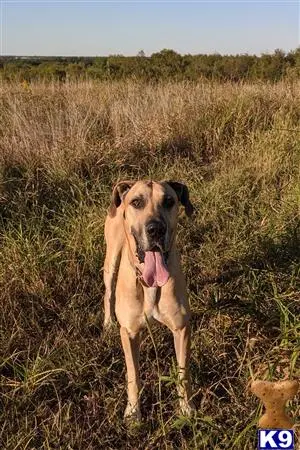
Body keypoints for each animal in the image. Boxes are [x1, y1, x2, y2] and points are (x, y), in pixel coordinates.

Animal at [102, 179, 195, 422]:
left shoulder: (181, 328)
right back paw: (107, 322)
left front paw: (186, 408)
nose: (156, 230)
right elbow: (133, 375)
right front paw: (133, 411)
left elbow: (183, 372)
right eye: (137, 202)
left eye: (169, 201)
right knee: (107, 292)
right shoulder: (129, 332)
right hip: (111, 260)